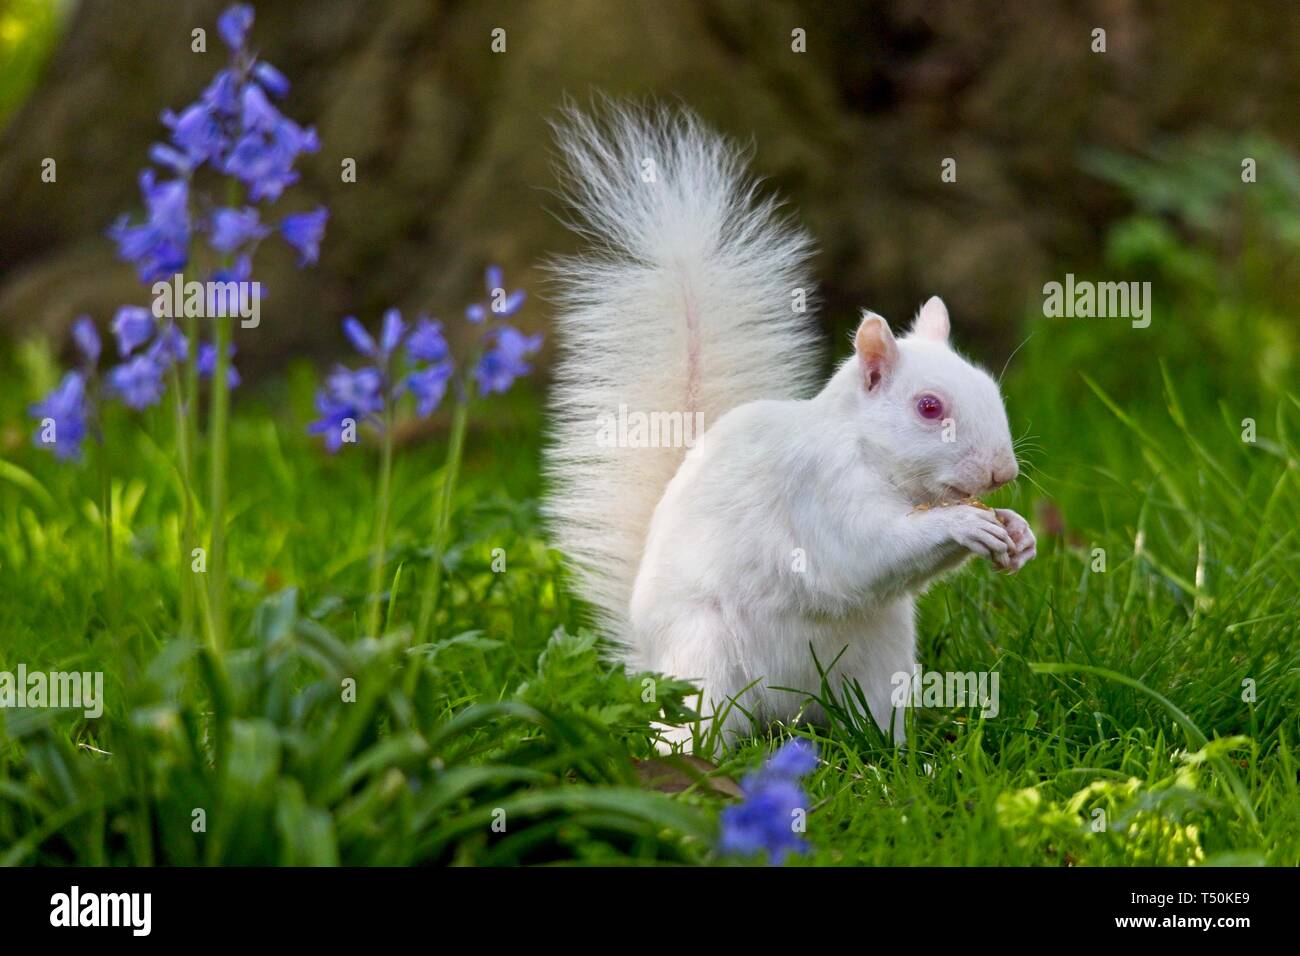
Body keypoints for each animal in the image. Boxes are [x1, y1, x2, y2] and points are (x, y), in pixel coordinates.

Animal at [538, 102, 1034, 749]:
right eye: (928, 407)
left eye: (991, 388)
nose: (1002, 472)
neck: (868, 457)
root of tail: (785, 711)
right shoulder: (814, 490)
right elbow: (860, 552)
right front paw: (963, 525)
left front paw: (1018, 532)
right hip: (706, 657)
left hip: (881, 662)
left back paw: (903, 756)